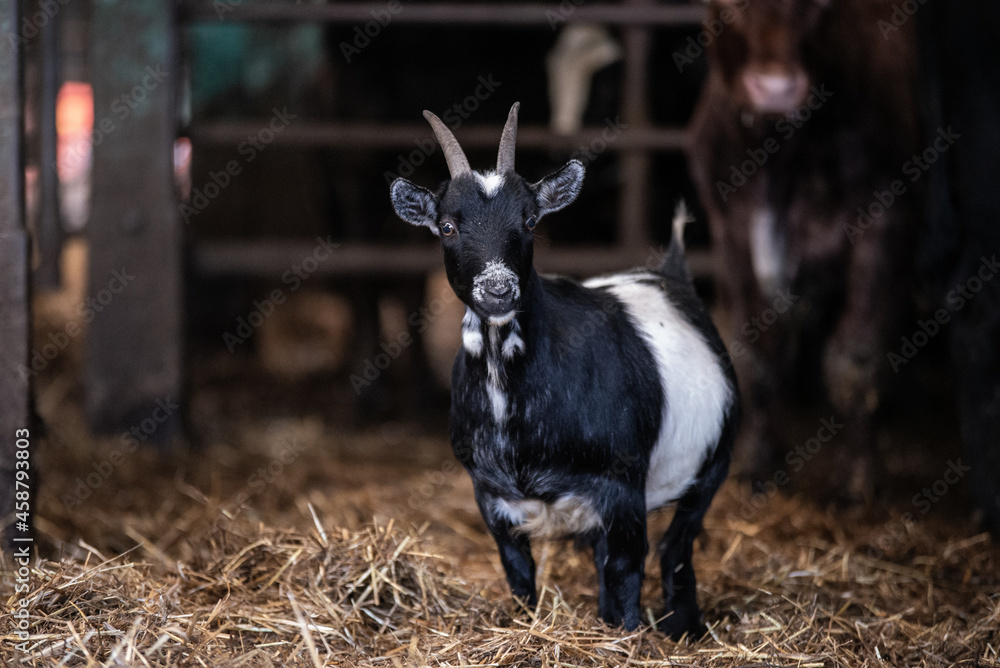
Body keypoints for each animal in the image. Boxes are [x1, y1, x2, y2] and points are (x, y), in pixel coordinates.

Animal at [390, 103, 740, 637]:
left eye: (531, 219)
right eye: (447, 226)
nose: (498, 289)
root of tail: (672, 274)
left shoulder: (622, 485)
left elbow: (627, 569)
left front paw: (628, 636)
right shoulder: (488, 492)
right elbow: (518, 571)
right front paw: (522, 625)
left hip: (713, 462)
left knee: (675, 546)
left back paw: (682, 626)